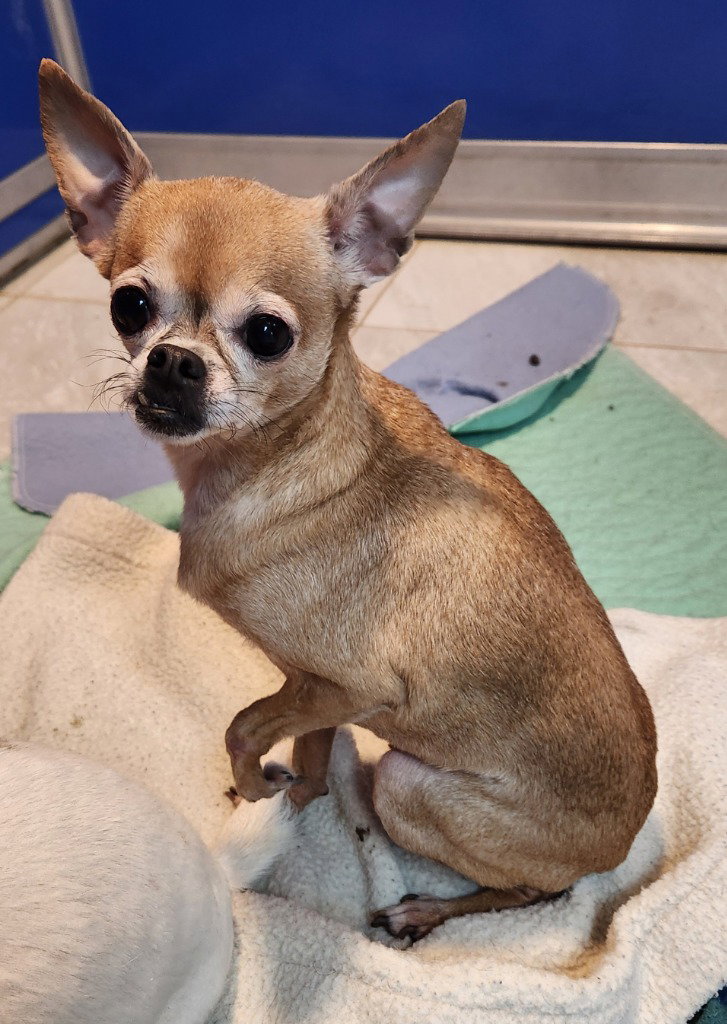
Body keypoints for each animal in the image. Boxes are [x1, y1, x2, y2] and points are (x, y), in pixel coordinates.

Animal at [39, 58, 657, 942]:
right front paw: (287, 804)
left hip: (407, 783)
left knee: (536, 896)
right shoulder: (309, 689)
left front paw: (255, 788)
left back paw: (423, 911)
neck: (279, 461)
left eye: (267, 334)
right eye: (130, 306)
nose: (172, 361)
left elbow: (242, 722)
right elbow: (305, 753)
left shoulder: (351, 687)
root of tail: (620, 844)